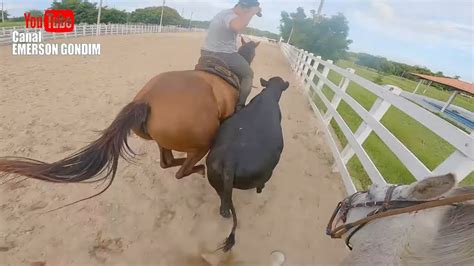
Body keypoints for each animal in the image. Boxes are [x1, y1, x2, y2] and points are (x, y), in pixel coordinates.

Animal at [0, 37, 260, 198]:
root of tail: (145, 99)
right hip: (200, 145)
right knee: (181, 170)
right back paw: (199, 171)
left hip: (165, 142)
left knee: (167, 163)